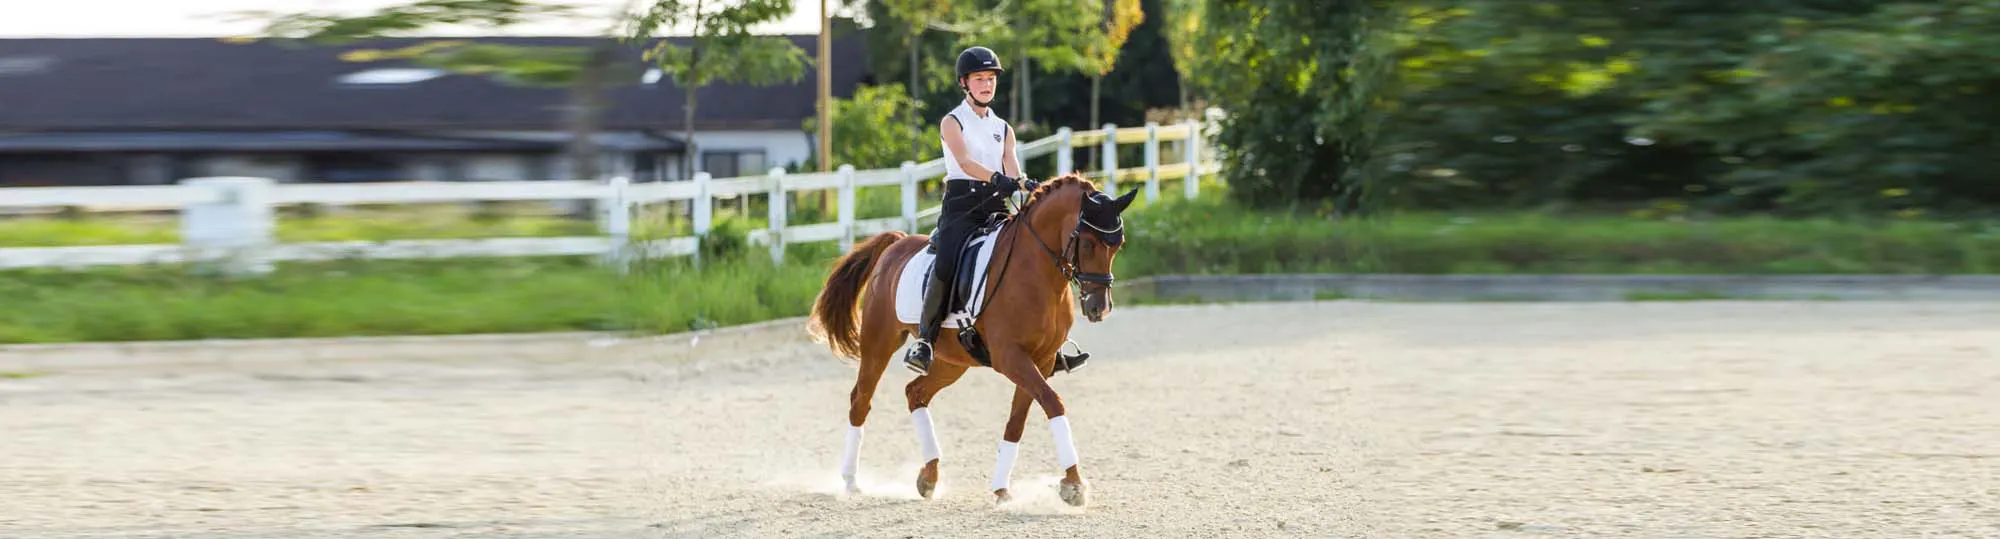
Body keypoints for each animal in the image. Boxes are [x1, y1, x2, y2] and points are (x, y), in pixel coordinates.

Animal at [804, 173, 1136, 505]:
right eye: (1089, 243)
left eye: (1118, 245)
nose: (1099, 308)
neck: (1037, 272)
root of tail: (897, 242)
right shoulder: (1010, 357)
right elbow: (1054, 404)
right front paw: (1074, 485)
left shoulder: (1039, 361)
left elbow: (1018, 421)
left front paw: (1002, 489)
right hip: (880, 343)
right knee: (861, 400)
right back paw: (850, 481)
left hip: (952, 361)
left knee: (916, 393)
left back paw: (929, 477)